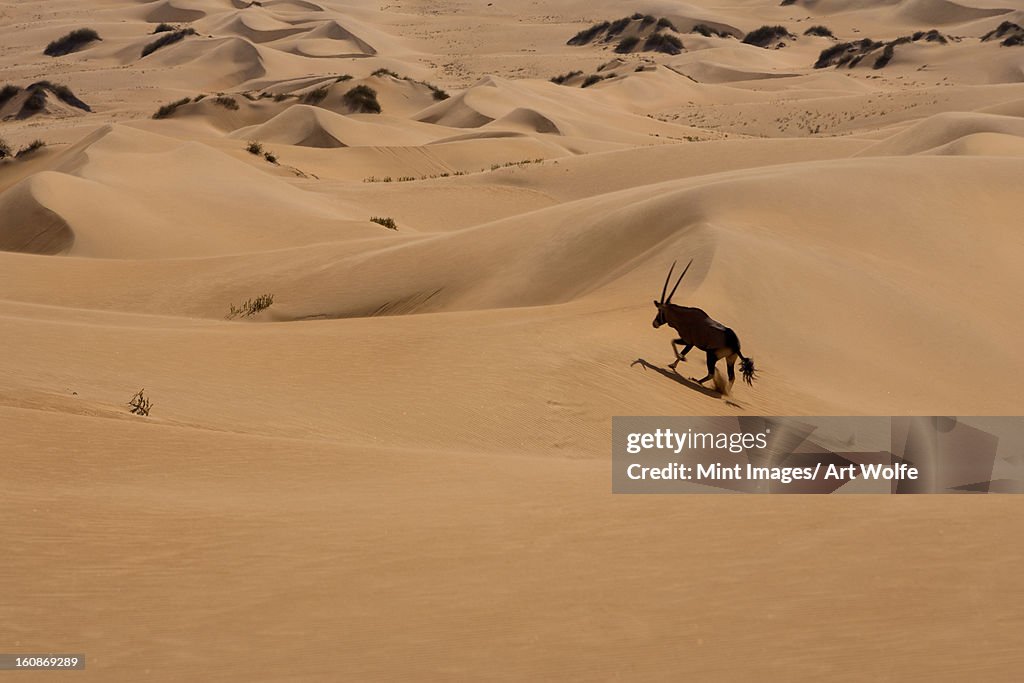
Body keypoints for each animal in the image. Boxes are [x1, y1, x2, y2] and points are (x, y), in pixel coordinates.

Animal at [651, 259, 757, 393]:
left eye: (659, 311)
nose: (654, 323)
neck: (683, 316)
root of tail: (735, 344)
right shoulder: (690, 343)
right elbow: (676, 345)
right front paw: (673, 364)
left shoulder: (689, 342)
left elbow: (675, 344)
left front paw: (678, 361)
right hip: (729, 360)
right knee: (731, 377)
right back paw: (724, 391)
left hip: (711, 355)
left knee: (712, 373)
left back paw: (697, 381)